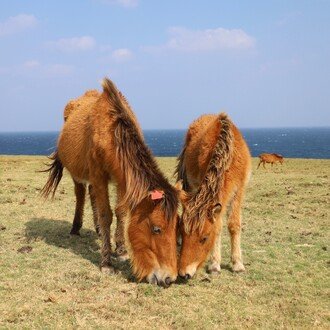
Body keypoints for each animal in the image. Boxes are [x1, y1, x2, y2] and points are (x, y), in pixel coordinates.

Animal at [42, 78, 180, 286]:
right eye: (157, 229)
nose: (169, 279)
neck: (111, 131)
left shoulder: (122, 180)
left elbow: (121, 212)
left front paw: (121, 250)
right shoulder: (99, 176)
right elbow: (106, 214)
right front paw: (106, 262)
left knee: (91, 194)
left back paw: (99, 230)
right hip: (77, 173)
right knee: (81, 195)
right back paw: (76, 228)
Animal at [175, 113, 250, 278]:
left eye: (204, 238)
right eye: (183, 232)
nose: (184, 273)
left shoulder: (239, 190)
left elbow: (234, 224)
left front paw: (237, 264)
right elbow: (218, 226)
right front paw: (215, 264)